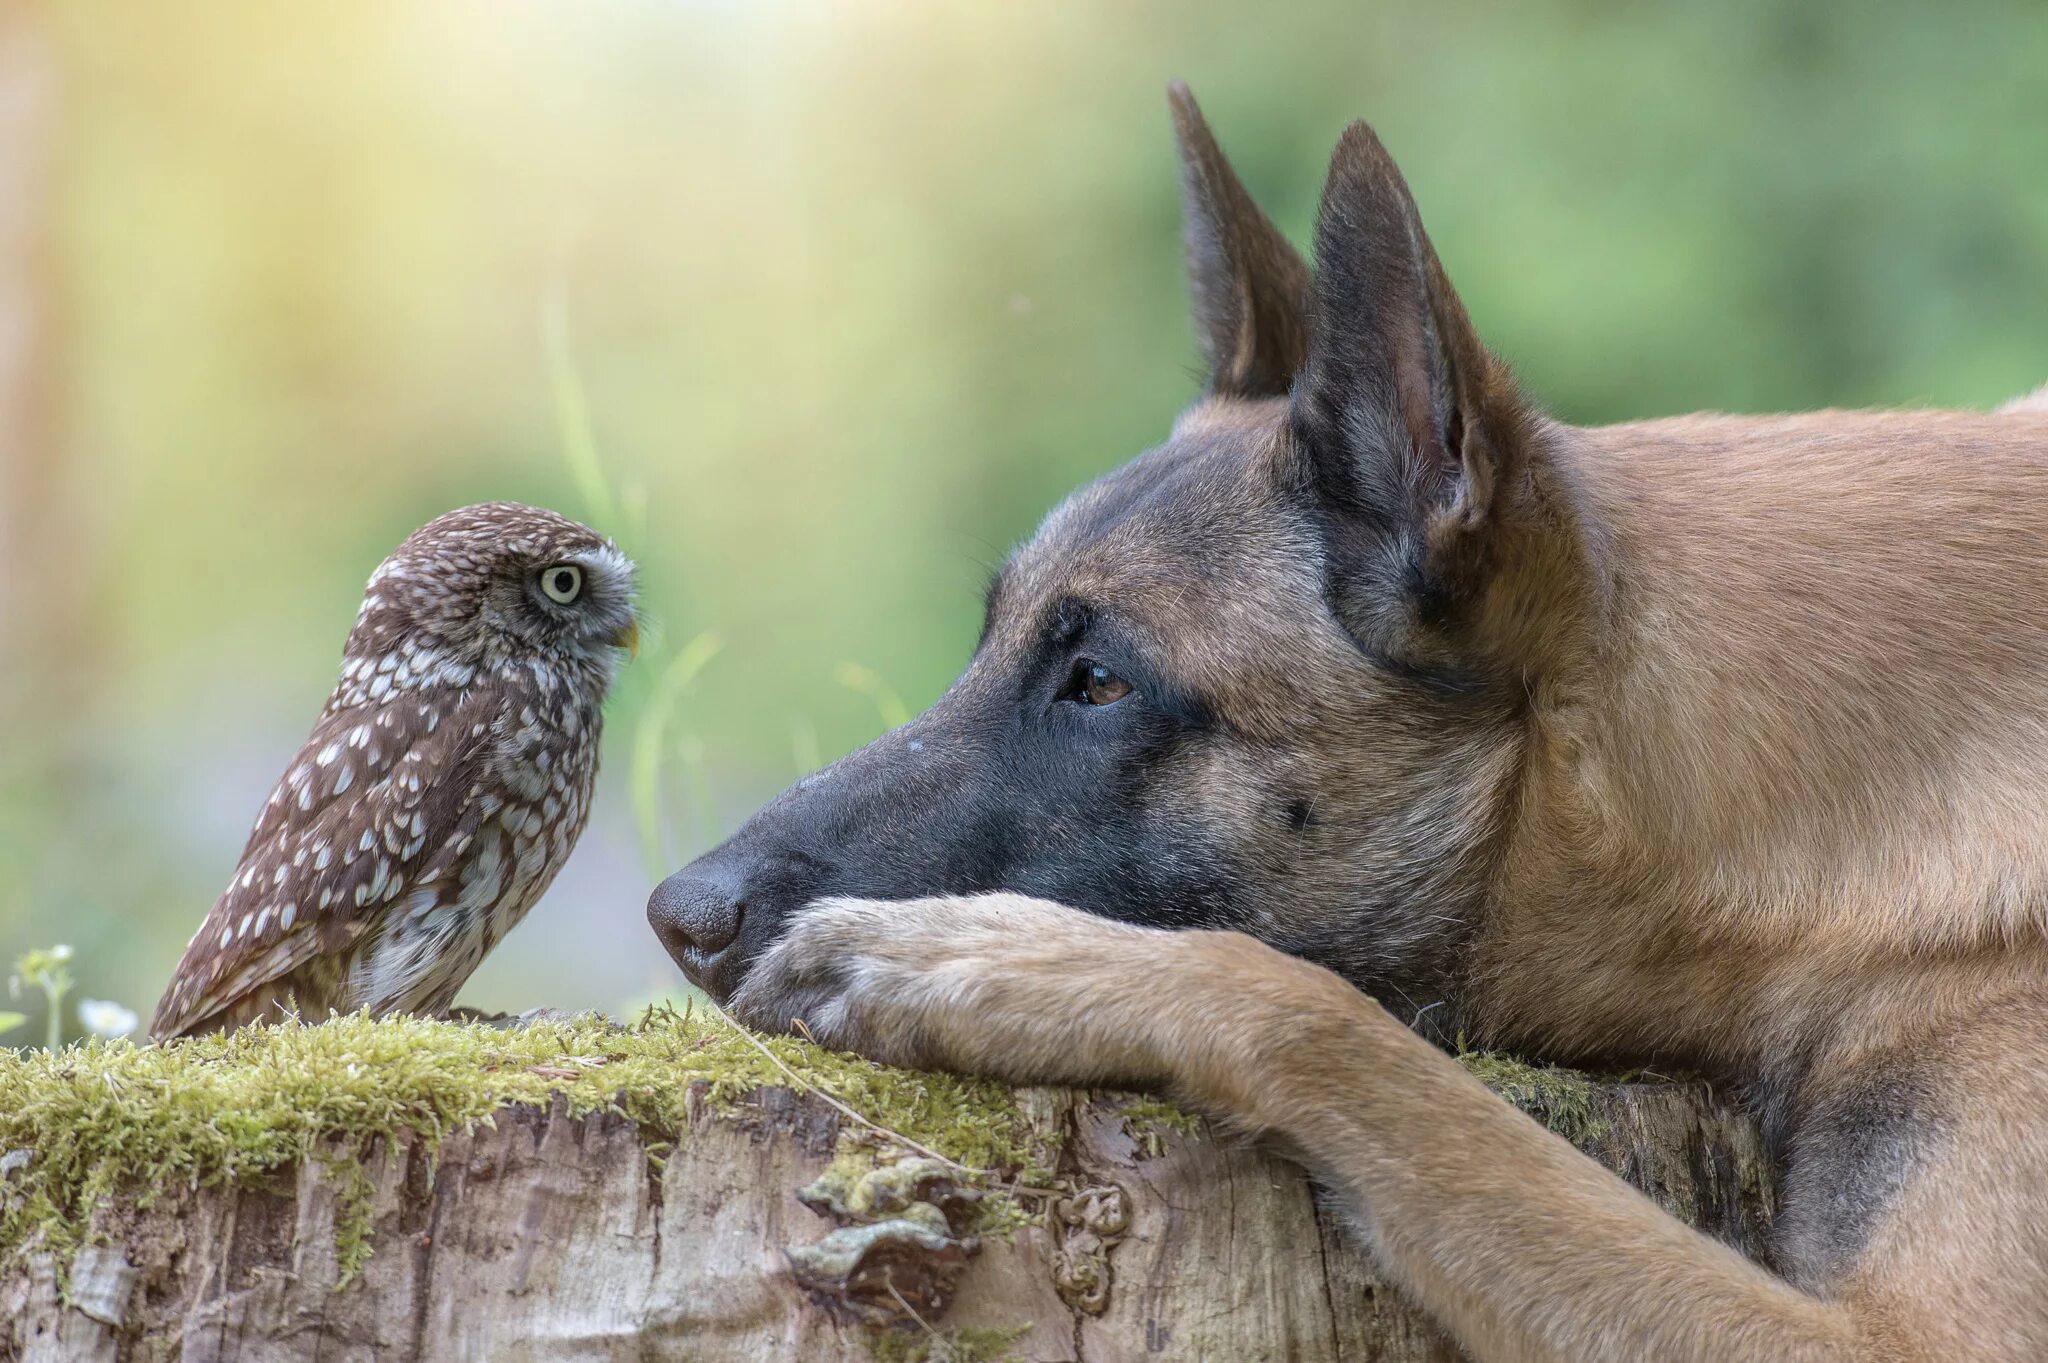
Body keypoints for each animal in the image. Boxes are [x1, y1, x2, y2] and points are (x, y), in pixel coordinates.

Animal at [647, 87, 2048, 1358]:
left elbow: (1326, 1022)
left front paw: (985, 962)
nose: (678, 916)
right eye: (988, 639)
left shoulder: (1900, 1342)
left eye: (1098, 683)